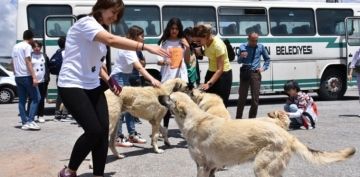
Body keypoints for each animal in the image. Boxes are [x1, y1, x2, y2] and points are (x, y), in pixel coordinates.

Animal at [160, 92, 354, 177]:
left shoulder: (203, 167)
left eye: (169, 97)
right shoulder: (211, 167)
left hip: (261, 168)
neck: (193, 119)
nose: (160, 95)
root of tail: (288, 136)